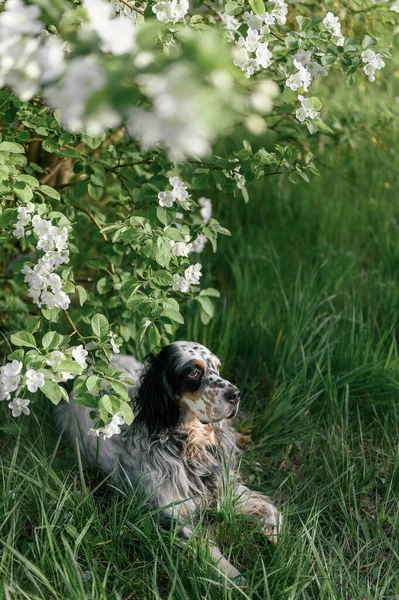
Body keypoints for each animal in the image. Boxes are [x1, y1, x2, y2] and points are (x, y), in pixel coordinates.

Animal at [56, 342, 282, 580]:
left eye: (217, 367)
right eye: (193, 372)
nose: (235, 395)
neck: (189, 443)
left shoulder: (221, 488)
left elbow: (271, 508)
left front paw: (273, 536)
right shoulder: (170, 511)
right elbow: (208, 548)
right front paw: (235, 578)